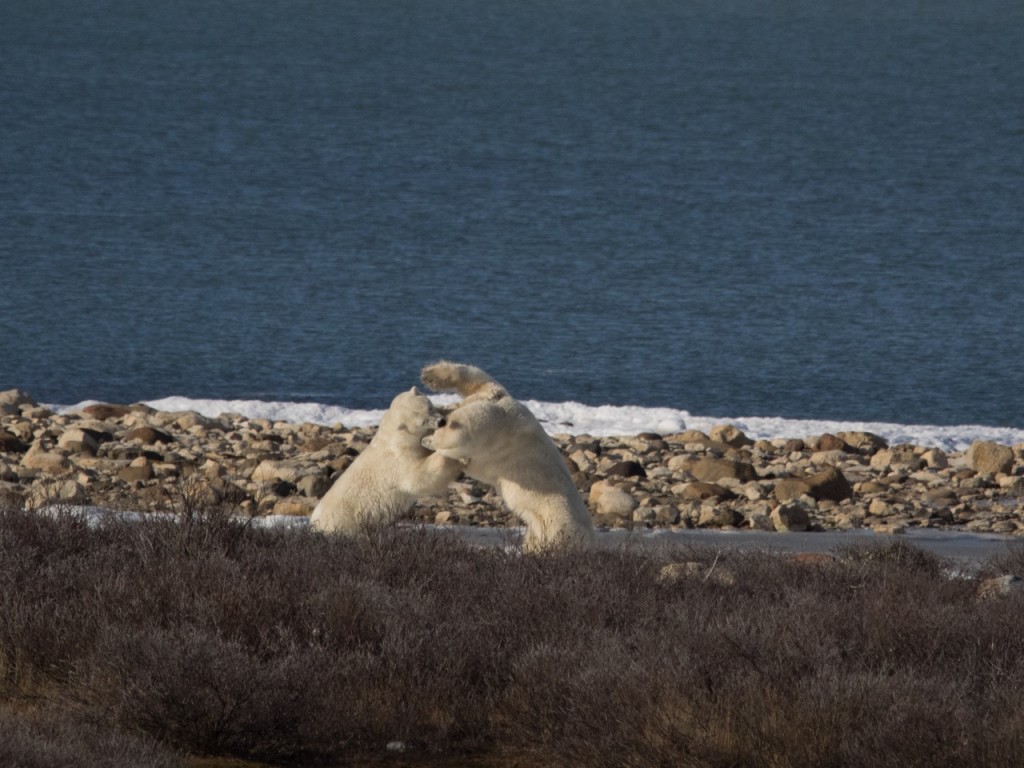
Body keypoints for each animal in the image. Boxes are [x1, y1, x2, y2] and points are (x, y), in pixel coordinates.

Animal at [309, 386, 462, 535]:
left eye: (429, 407)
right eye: (422, 421)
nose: (441, 422)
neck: (395, 436)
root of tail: (313, 522)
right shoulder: (400, 458)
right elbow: (418, 477)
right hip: (343, 518)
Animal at [420, 361, 595, 552]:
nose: (439, 417)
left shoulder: (499, 432)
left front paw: (432, 440)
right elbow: (478, 378)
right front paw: (430, 375)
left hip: (556, 521)